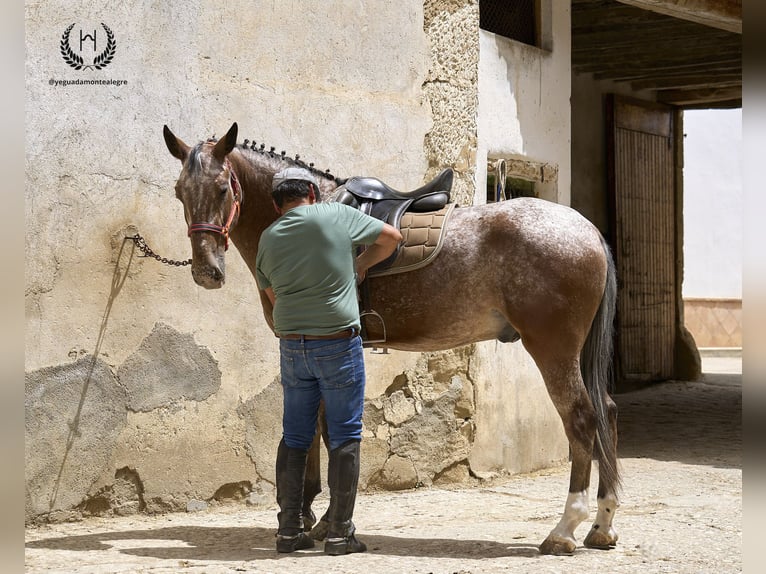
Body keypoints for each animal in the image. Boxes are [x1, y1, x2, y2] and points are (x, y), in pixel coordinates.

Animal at [164, 122, 624, 560]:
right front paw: (314, 517)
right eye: (179, 192)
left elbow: (322, 431)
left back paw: (565, 529)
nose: (206, 271)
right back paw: (602, 524)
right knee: (607, 412)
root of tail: (586, 231)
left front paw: (317, 519)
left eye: (223, 189)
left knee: (581, 420)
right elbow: (319, 428)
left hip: (553, 348)